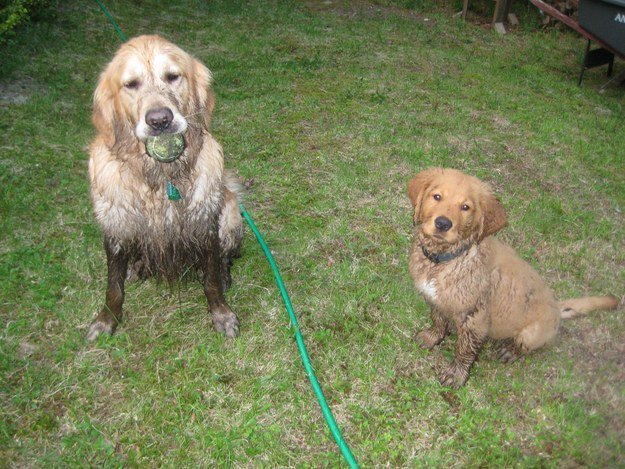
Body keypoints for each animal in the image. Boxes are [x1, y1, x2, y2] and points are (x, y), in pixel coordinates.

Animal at [86, 33, 243, 340]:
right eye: (131, 84)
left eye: (173, 77)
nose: (159, 120)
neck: (160, 178)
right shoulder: (115, 225)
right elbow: (113, 286)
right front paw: (107, 319)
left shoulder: (205, 223)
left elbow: (211, 280)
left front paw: (221, 314)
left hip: (230, 212)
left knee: (225, 258)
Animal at [408, 168, 616, 388]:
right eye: (436, 196)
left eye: (465, 207)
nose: (442, 224)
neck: (447, 259)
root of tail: (557, 308)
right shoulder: (434, 298)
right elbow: (438, 319)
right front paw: (432, 337)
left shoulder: (475, 318)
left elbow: (465, 350)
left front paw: (456, 374)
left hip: (531, 334)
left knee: (524, 346)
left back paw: (510, 350)